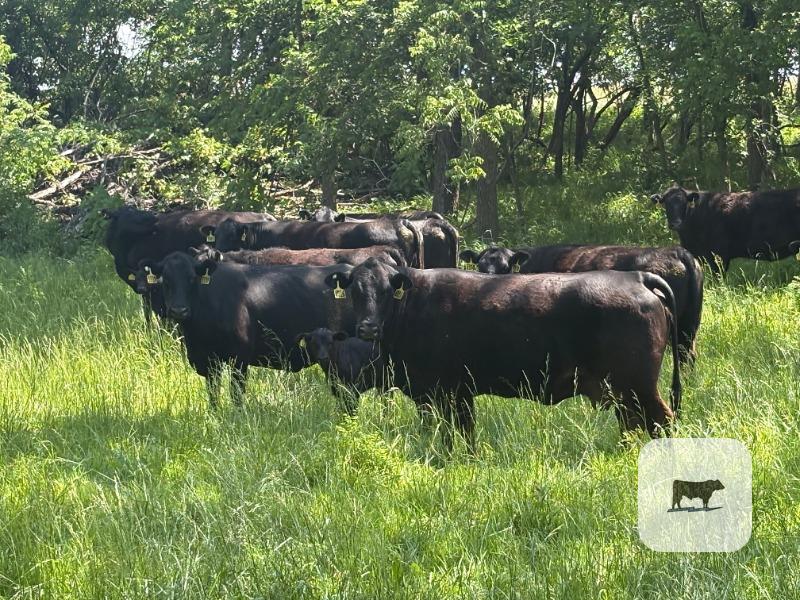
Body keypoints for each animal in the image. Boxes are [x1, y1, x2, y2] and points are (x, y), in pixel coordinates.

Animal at [140, 251, 355, 407]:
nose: (179, 310)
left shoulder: (239, 358)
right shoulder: (208, 361)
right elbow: (213, 392)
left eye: (192, 279)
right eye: (165, 280)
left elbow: (236, 392)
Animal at [324, 258, 681, 449]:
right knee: (632, 424)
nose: (368, 327)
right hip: (621, 390)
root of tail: (636, 276)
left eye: (388, 290)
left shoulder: (442, 391)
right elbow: (460, 434)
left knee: (662, 421)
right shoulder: (455, 393)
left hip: (638, 386)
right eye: (356, 290)